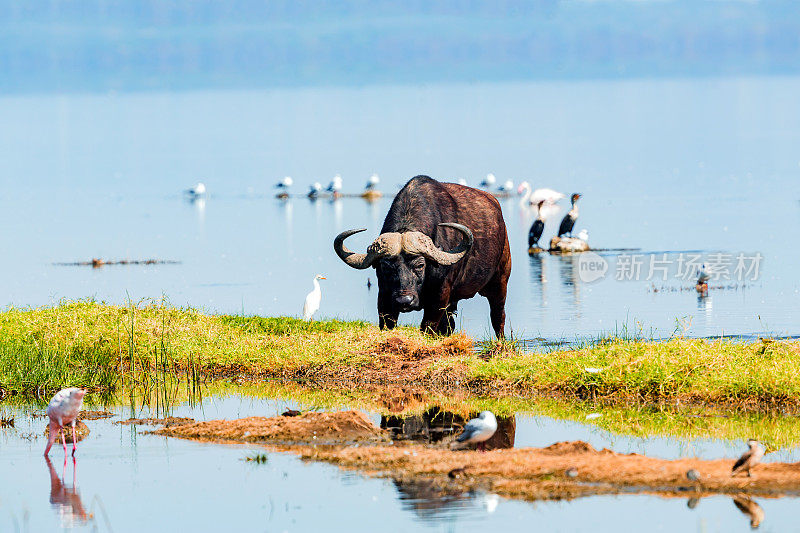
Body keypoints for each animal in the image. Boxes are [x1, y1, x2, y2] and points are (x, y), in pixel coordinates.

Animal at [332, 176, 512, 336]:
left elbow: (428, 326)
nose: (404, 301)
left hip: (500, 282)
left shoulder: (439, 296)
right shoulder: (384, 295)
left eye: (420, 265)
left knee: (498, 318)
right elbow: (387, 323)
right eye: (385, 267)